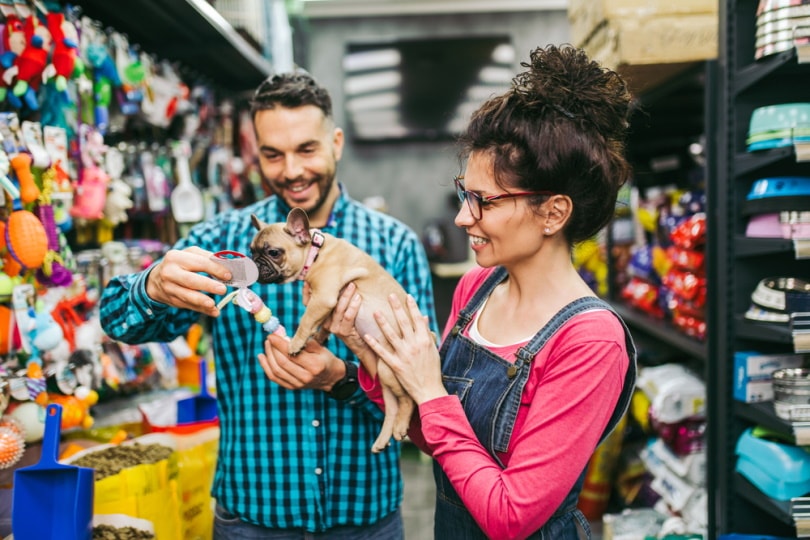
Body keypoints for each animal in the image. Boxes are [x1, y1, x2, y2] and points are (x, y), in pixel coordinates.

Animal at [251, 209, 416, 454]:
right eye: (251, 250)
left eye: (273, 252)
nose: (253, 263)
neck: (315, 251)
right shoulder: (328, 304)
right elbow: (324, 323)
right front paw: (317, 338)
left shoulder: (323, 298)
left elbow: (306, 319)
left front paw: (297, 342)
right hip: (384, 375)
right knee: (392, 407)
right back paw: (382, 440)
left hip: (390, 369)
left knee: (408, 399)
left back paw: (401, 427)